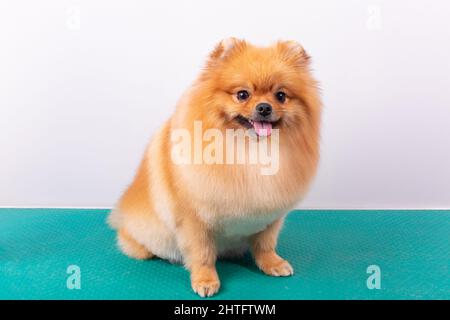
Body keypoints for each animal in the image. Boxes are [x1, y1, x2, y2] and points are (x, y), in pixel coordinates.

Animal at [108, 38, 320, 298]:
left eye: (281, 96)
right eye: (242, 94)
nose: (264, 107)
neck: (250, 150)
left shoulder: (271, 214)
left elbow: (265, 243)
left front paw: (272, 263)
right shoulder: (194, 219)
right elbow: (202, 253)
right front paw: (205, 279)